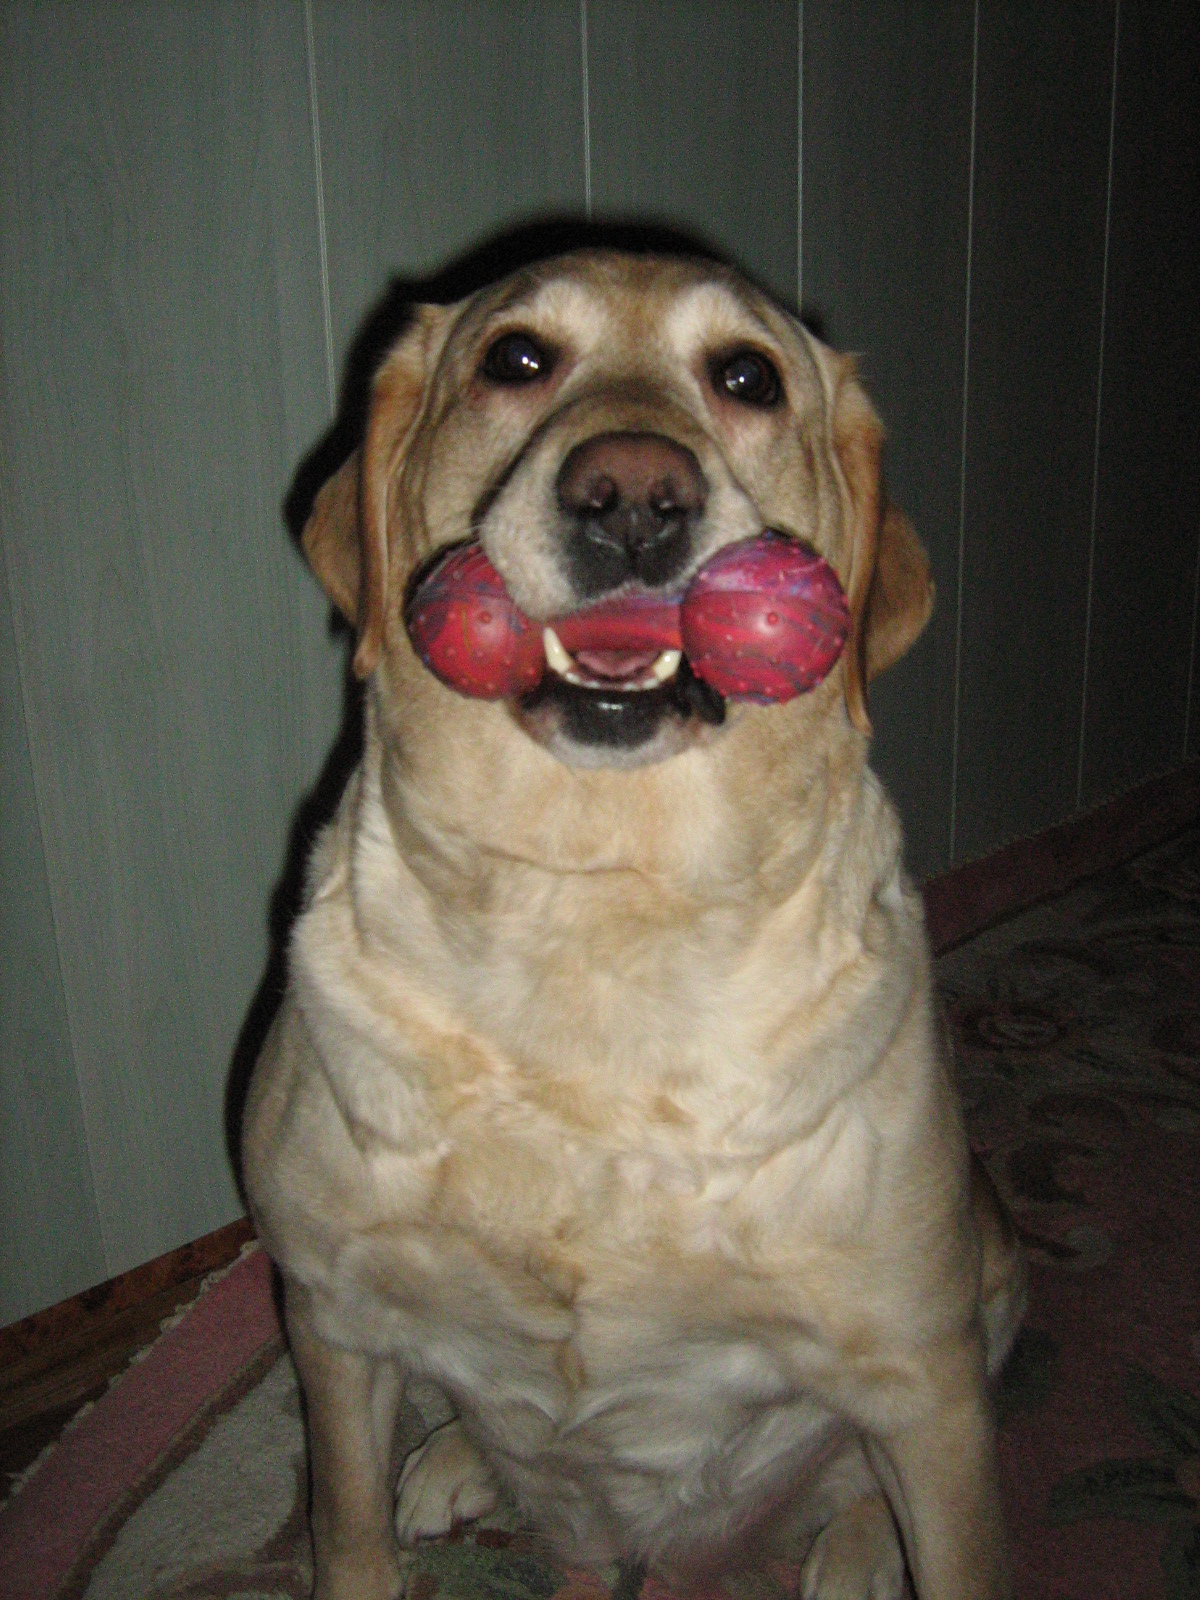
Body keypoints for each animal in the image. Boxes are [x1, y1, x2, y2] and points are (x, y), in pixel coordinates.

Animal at [242, 250, 1026, 1600]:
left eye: (748, 376)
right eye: (515, 357)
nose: (631, 497)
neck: (595, 902)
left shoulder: (925, 1377)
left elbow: (959, 1533)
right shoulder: (332, 1321)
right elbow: (346, 1531)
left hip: (990, 1285)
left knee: (858, 1472)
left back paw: (855, 1548)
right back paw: (452, 1463)